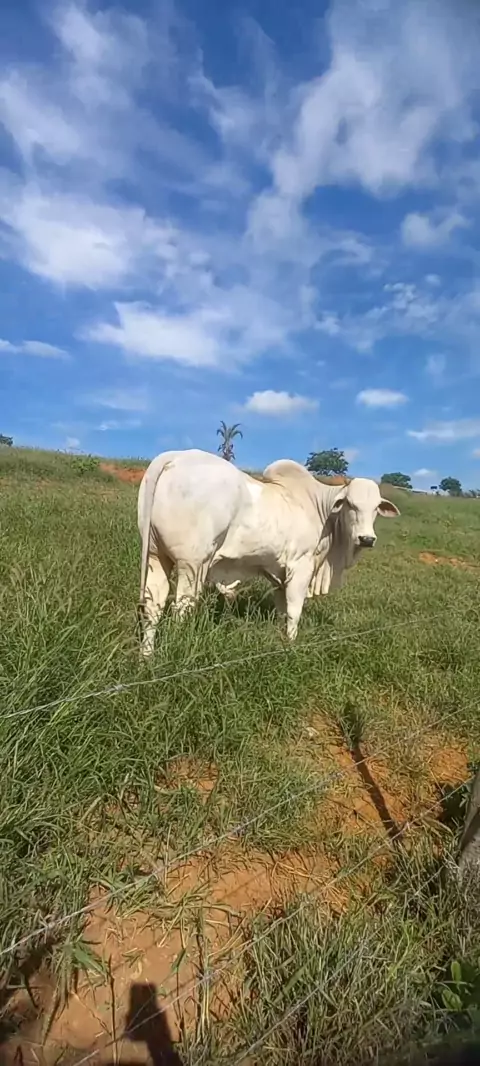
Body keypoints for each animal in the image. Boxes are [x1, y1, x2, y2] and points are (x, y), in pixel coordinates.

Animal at [137, 449, 349, 657]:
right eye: (351, 505)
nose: (361, 538)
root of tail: (174, 456)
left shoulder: (278, 574)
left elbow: (282, 608)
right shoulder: (301, 565)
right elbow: (294, 610)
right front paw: (291, 645)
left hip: (156, 556)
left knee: (153, 606)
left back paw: (147, 657)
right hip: (192, 564)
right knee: (182, 607)